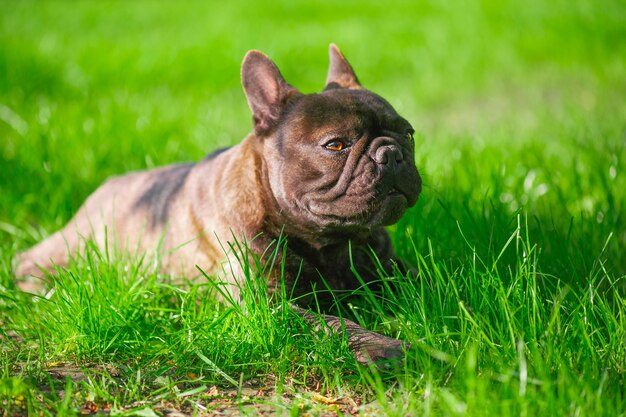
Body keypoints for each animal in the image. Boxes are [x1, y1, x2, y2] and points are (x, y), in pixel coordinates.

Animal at [14, 45, 422, 362]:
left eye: (408, 133)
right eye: (336, 145)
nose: (391, 153)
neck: (332, 241)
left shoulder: (390, 267)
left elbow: (425, 281)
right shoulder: (268, 303)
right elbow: (334, 325)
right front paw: (388, 348)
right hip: (76, 245)